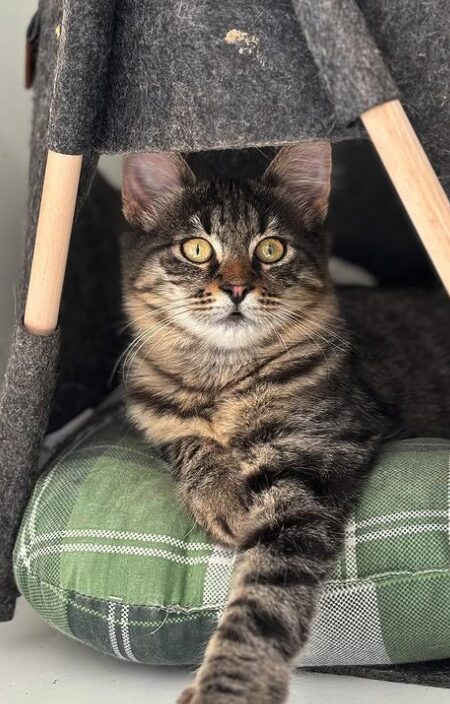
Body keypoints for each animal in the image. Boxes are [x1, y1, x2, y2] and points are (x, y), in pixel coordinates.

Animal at [120, 144, 450, 704]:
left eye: (271, 249)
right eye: (196, 249)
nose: (235, 288)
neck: (222, 377)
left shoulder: (308, 462)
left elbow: (263, 602)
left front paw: (229, 687)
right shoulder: (154, 419)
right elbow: (188, 442)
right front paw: (222, 495)